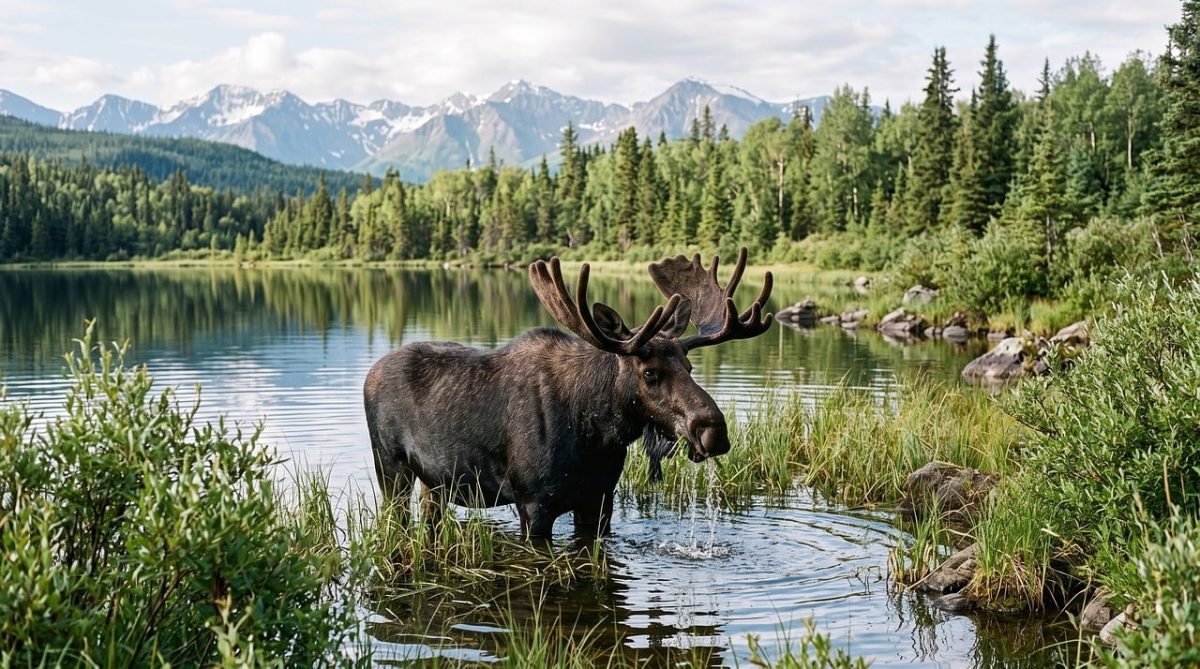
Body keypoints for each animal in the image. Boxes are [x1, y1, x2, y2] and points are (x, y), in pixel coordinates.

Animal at [363, 249, 773, 539]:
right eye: (650, 373)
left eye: (689, 367)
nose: (713, 430)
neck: (598, 433)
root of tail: (370, 372)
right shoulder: (533, 504)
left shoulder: (600, 499)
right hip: (390, 468)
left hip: (433, 481)